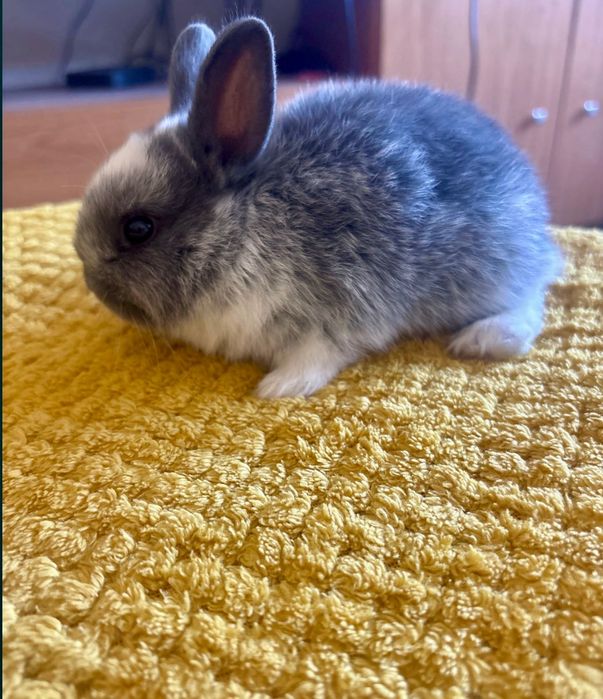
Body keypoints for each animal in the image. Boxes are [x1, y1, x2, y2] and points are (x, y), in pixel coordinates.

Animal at [74, 17, 562, 399]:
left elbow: (321, 355)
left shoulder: (339, 310)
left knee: (532, 299)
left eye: (139, 228)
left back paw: (482, 338)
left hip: (493, 269)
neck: (247, 223)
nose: (93, 285)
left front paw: (278, 388)